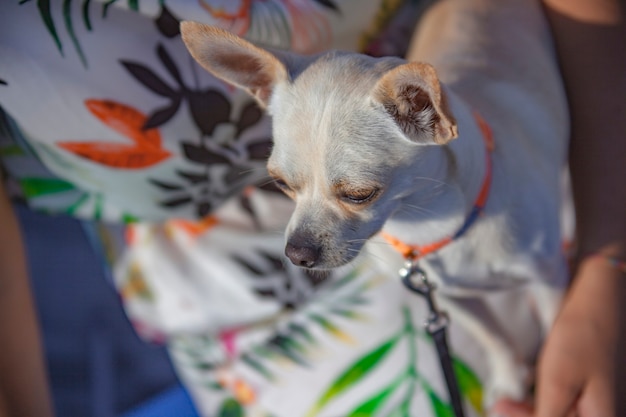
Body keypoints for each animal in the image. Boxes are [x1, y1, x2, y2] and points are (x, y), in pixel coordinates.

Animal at [179, 0, 572, 410]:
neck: (428, 223)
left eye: (359, 194)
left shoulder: (550, 280)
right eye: (283, 185)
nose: (296, 254)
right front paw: (510, 378)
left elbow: (555, 336)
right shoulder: (448, 298)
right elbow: (492, 336)